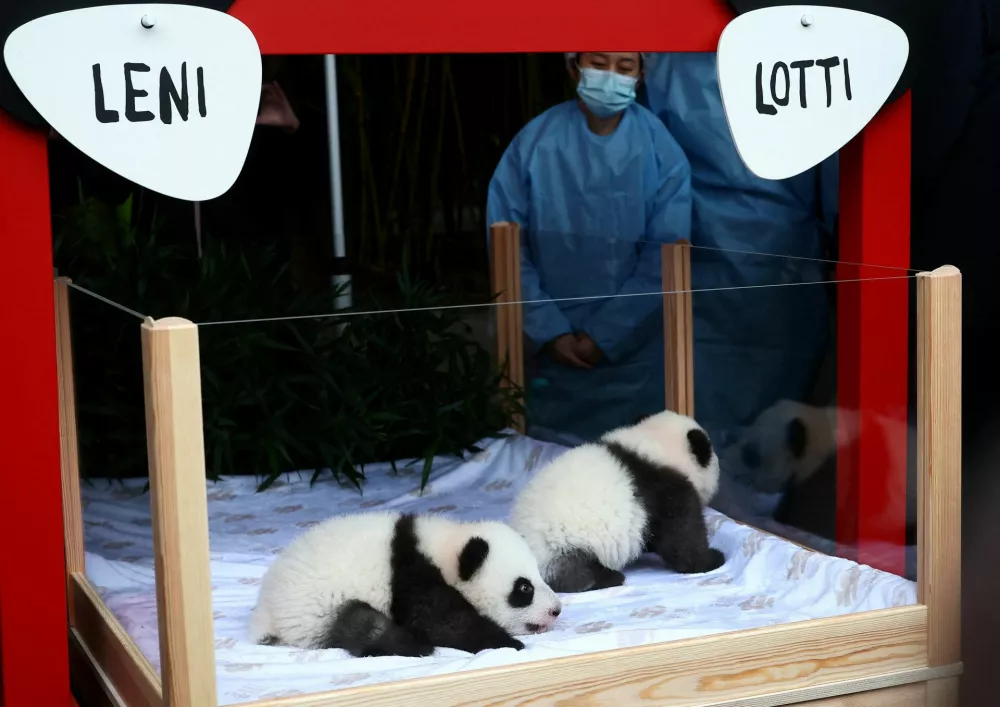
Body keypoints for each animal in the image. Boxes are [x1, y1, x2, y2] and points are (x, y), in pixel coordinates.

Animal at [249, 511, 562, 657]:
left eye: (538, 577)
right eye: (524, 589)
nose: (556, 610)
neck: (444, 547)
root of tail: (265, 611)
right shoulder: (412, 576)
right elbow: (442, 622)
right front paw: (506, 642)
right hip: (318, 607)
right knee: (362, 624)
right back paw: (411, 645)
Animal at [508, 409, 725, 594]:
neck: (656, 444)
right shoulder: (666, 491)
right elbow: (683, 536)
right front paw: (712, 559)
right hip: (561, 544)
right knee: (576, 573)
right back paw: (609, 578)